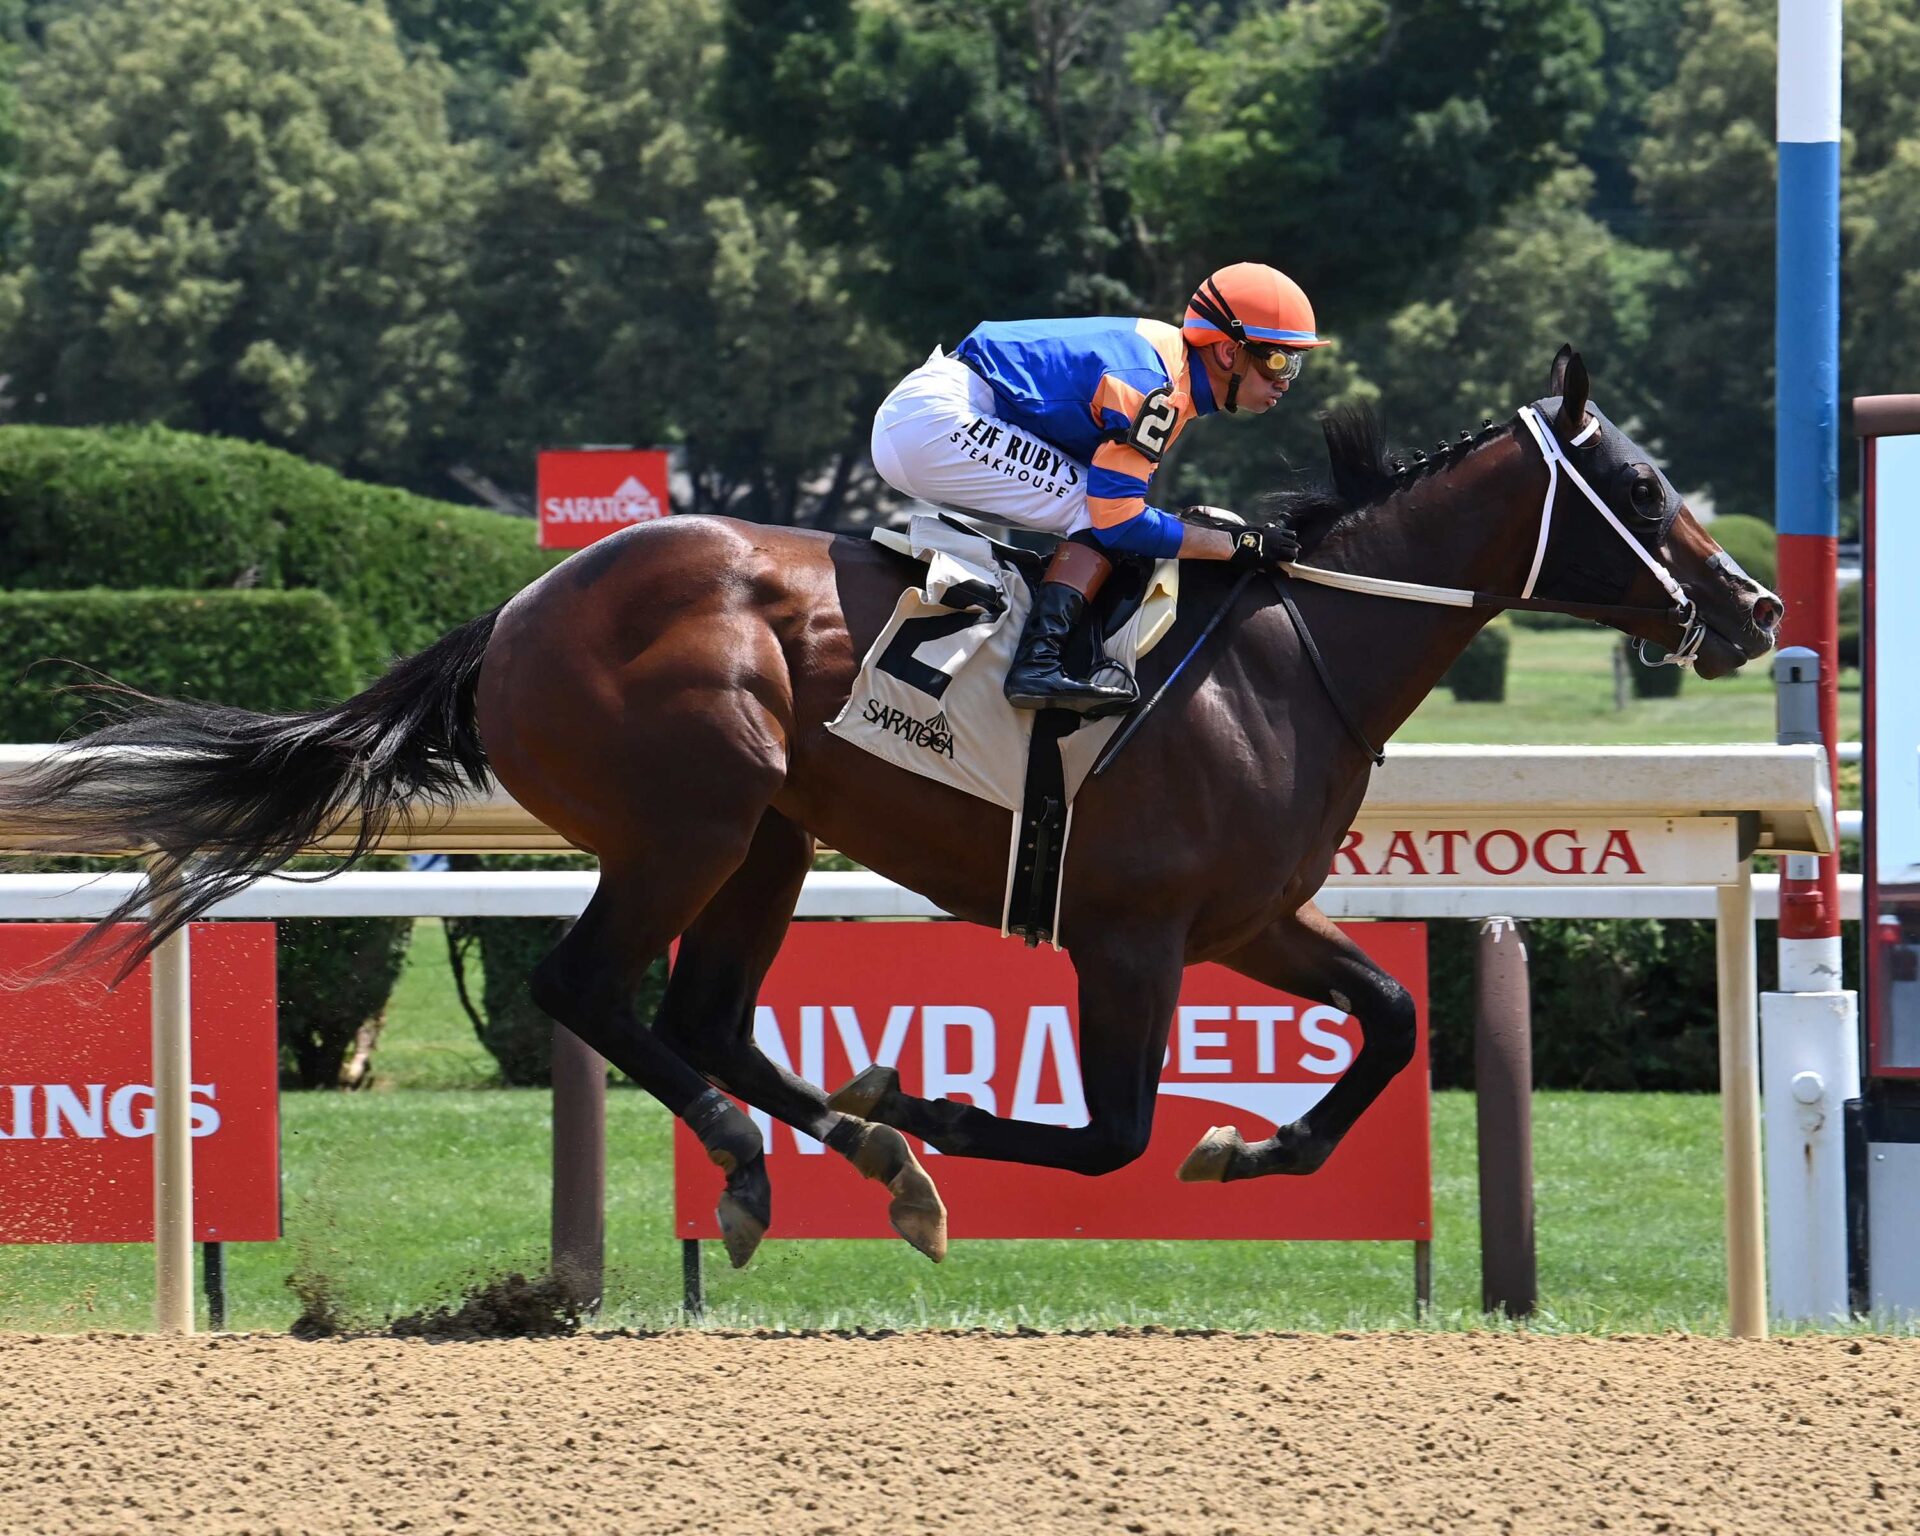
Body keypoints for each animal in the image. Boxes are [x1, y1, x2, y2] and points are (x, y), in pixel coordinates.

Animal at [0, 347, 1781, 1270]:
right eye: (1640, 489)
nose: (1756, 606)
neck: (1291, 655)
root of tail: (511, 611)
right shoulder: (1131, 935)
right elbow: (1106, 1134)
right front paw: (945, 1108)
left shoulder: (1249, 918)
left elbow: (1395, 1022)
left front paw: (1249, 1150)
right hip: (694, 819)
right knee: (589, 988)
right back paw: (792, 1155)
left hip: (771, 838)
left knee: (702, 1019)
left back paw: (850, 1150)